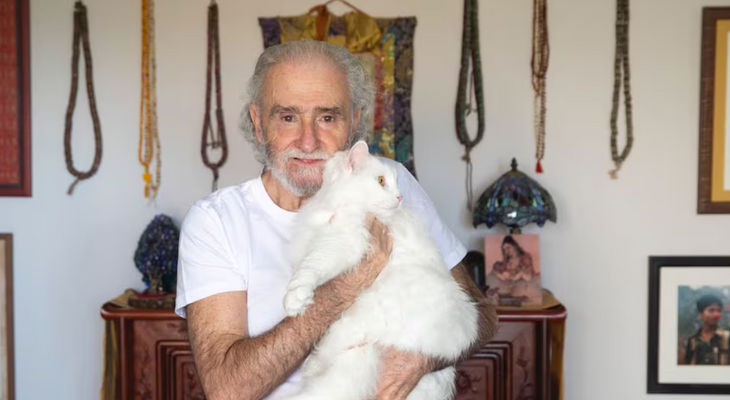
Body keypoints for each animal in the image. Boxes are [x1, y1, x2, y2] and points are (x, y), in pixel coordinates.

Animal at [281, 140, 479, 400]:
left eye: (394, 183)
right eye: (382, 181)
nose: (400, 196)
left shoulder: (346, 242)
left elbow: (311, 267)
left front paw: (295, 298)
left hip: (358, 356)